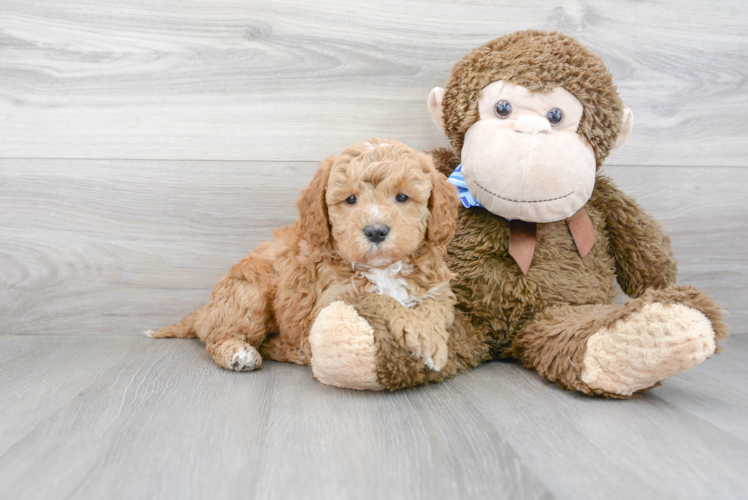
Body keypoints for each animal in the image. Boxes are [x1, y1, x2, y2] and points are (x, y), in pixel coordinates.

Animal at [149, 139, 458, 376]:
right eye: (350, 199)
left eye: (403, 197)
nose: (375, 231)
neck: (383, 269)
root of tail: (207, 310)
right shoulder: (326, 304)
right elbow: (376, 299)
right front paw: (421, 336)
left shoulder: (437, 290)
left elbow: (433, 309)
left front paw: (431, 337)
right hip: (249, 293)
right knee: (217, 338)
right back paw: (238, 352)